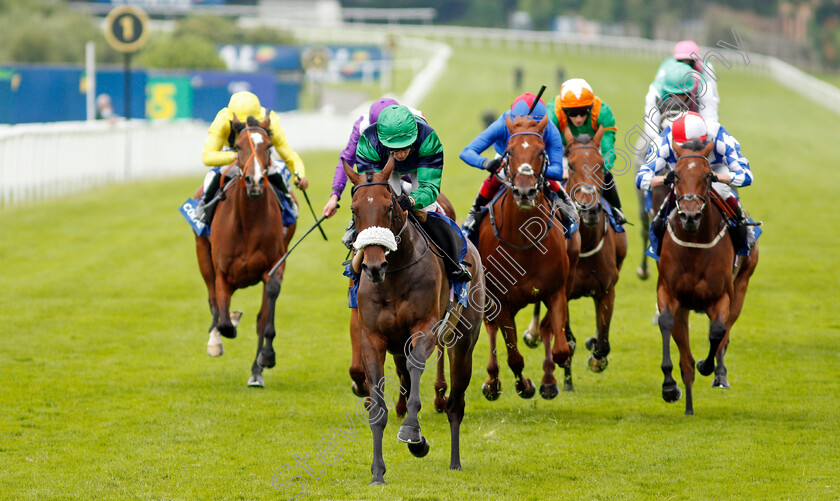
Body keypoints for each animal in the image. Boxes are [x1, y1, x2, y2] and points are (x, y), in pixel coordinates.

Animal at [193, 113, 296, 386]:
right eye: (238, 147)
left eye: (268, 146)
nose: (255, 181)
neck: (248, 223)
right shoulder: (221, 272)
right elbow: (223, 319)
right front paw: (224, 330)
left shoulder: (275, 263)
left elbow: (265, 314)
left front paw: (266, 357)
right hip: (202, 255)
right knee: (213, 302)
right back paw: (215, 339)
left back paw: (256, 372)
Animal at [342, 156, 486, 484]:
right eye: (354, 210)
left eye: (389, 207)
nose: (373, 266)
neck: (394, 274)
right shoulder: (372, 338)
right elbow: (378, 406)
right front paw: (377, 473)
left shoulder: (425, 329)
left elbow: (416, 371)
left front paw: (413, 434)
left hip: (463, 343)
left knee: (456, 403)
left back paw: (455, 461)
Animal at [476, 115, 576, 400]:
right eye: (509, 152)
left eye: (541, 152)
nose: (524, 192)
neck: (524, 242)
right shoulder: (501, 301)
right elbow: (514, 357)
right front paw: (524, 385)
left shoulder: (556, 290)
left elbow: (561, 349)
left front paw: (549, 381)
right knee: (490, 328)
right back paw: (492, 381)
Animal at [656, 141, 760, 414]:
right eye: (675, 176)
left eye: (707, 176)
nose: (690, 216)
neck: (694, 243)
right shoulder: (669, 293)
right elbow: (666, 323)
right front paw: (669, 386)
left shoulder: (721, 296)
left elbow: (717, 332)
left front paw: (707, 365)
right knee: (685, 354)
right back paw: (689, 404)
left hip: (741, 286)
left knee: (726, 333)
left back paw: (719, 374)